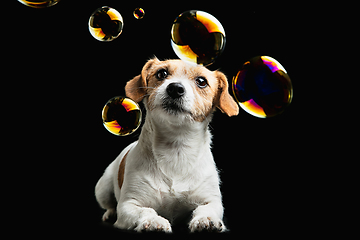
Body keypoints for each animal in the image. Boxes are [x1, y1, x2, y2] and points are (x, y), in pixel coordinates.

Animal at [95, 57, 239, 232]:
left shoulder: (211, 201)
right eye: (161, 73)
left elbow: (205, 209)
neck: (176, 148)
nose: (175, 88)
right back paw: (109, 214)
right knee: (110, 204)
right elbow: (145, 210)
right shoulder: (128, 205)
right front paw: (153, 220)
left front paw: (205, 219)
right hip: (102, 189)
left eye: (201, 81)